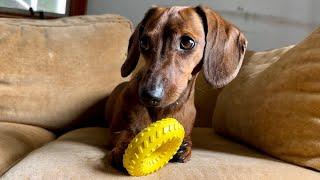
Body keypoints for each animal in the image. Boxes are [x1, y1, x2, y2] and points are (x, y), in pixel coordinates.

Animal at [105, 5, 248, 171]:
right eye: (144, 42)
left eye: (187, 42)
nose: (149, 95)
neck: (161, 111)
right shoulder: (117, 129)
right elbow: (124, 133)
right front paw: (126, 146)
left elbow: (187, 139)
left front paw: (184, 146)